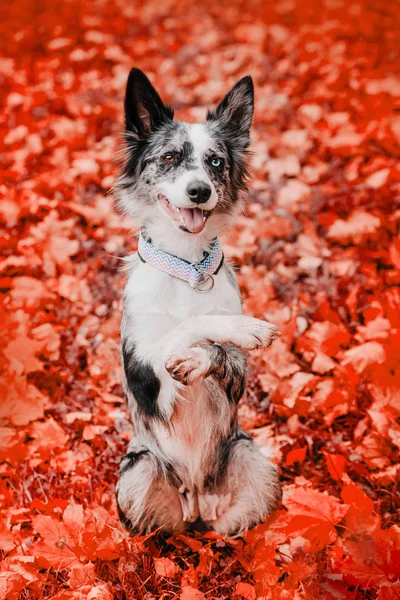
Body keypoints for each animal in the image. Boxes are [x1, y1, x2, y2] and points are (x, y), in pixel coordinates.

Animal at [114, 68, 280, 536]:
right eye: (170, 158)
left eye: (216, 162)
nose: (199, 191)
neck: (188, 269)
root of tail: (197, 497)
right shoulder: (145, 378)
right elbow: (184, 330)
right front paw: (244, 329)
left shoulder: (238, 376)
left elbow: (216, 346)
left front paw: (201, 355)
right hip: (138, 472)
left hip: (253, 459)